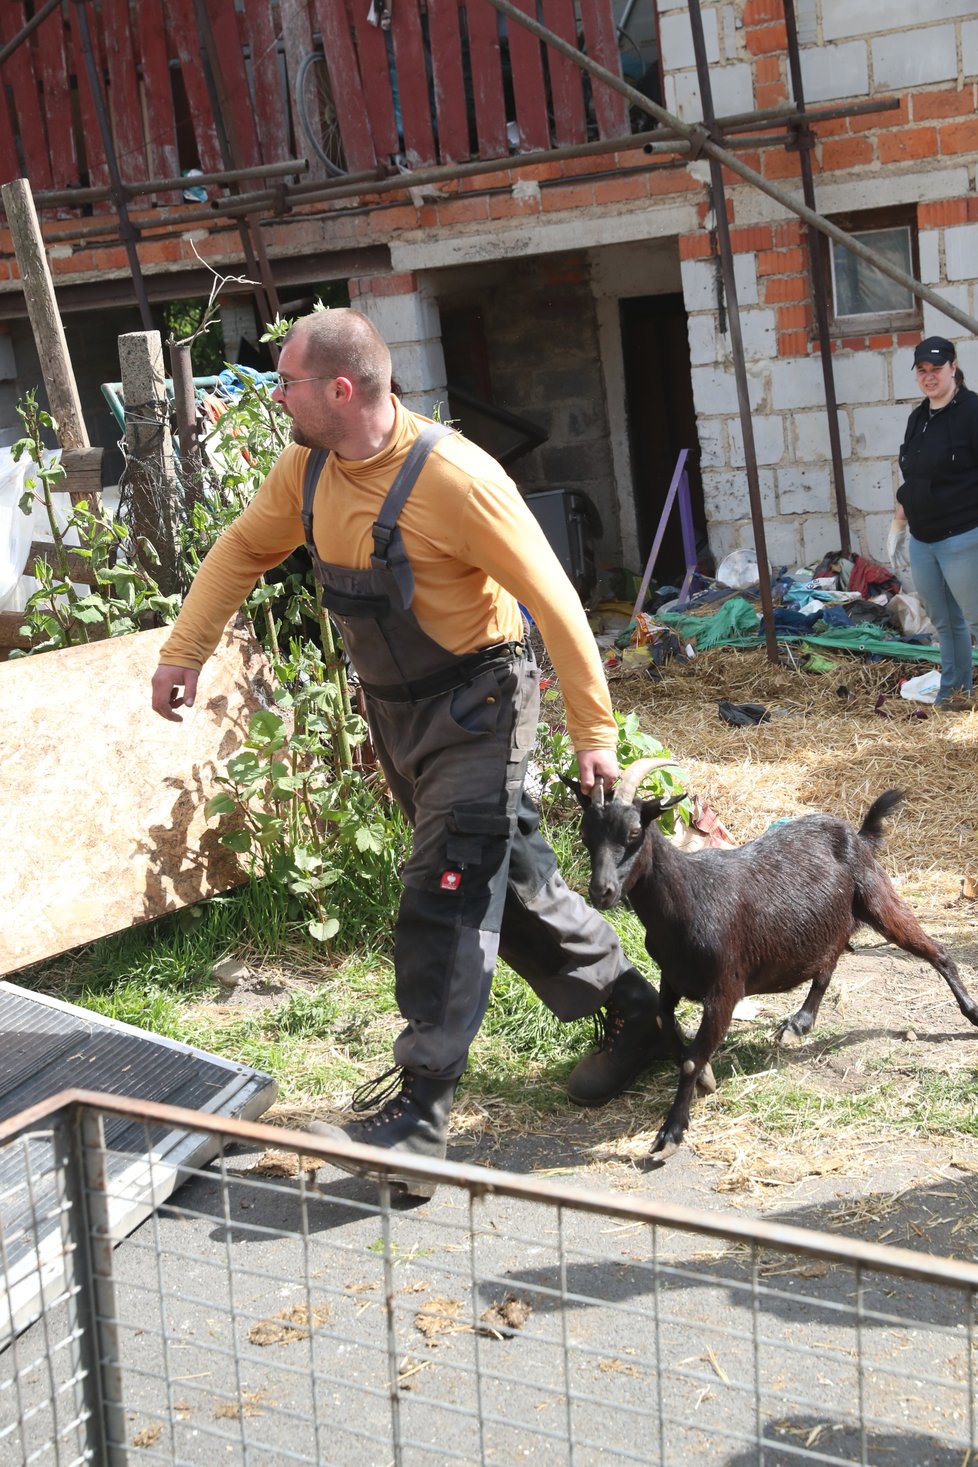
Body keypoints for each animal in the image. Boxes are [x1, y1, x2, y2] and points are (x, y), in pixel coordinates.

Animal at [565, 768, 978, 1167]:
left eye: (635, 832)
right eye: (586, 832)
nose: (601, 891)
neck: (688, 899)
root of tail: (858, 837)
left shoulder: (725, 988)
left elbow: (692, 1059)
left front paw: (671, 1134)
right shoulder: (672, 977)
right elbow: (664, 1022)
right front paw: (704, 1078)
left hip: (878, 899)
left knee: (937, 951)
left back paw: (971, 1012)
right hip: (828, 925)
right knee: (827, 966)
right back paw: (800, 1022)